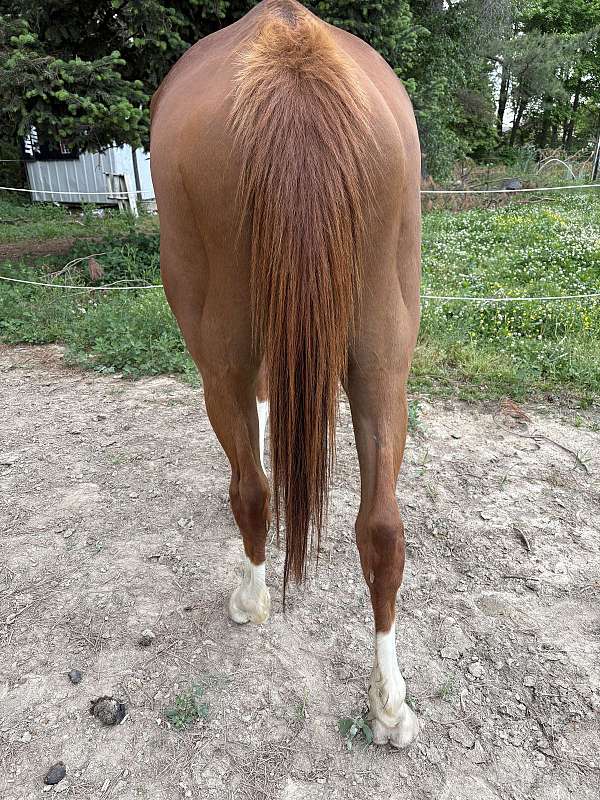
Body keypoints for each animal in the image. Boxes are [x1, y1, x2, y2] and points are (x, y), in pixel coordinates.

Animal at [150, 0, 421, 748]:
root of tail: (291, 55)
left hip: (218, 352)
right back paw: (389, 701)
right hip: (383, 350)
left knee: (252, 490)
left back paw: (251, 596)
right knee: (382, 529)